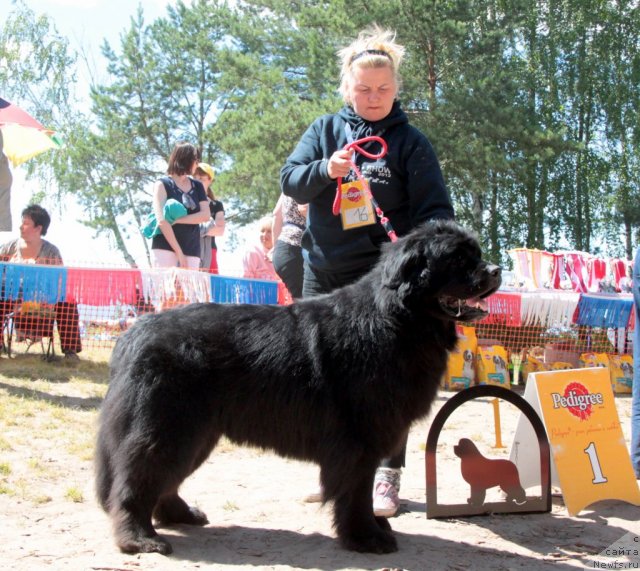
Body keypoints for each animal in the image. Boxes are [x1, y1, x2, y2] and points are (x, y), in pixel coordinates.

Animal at [94, 219, 500, 556]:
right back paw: (139, 539)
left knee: (164, 480)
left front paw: (375, 528)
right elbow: (356, 494)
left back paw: (181, 515)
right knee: (136, 480)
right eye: (457, 259)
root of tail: (133, 334)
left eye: (476, 254)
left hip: (197, 435)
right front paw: (366, 538)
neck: (397, 320)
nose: (495, 270)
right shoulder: (359, 441)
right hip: (169, 428)